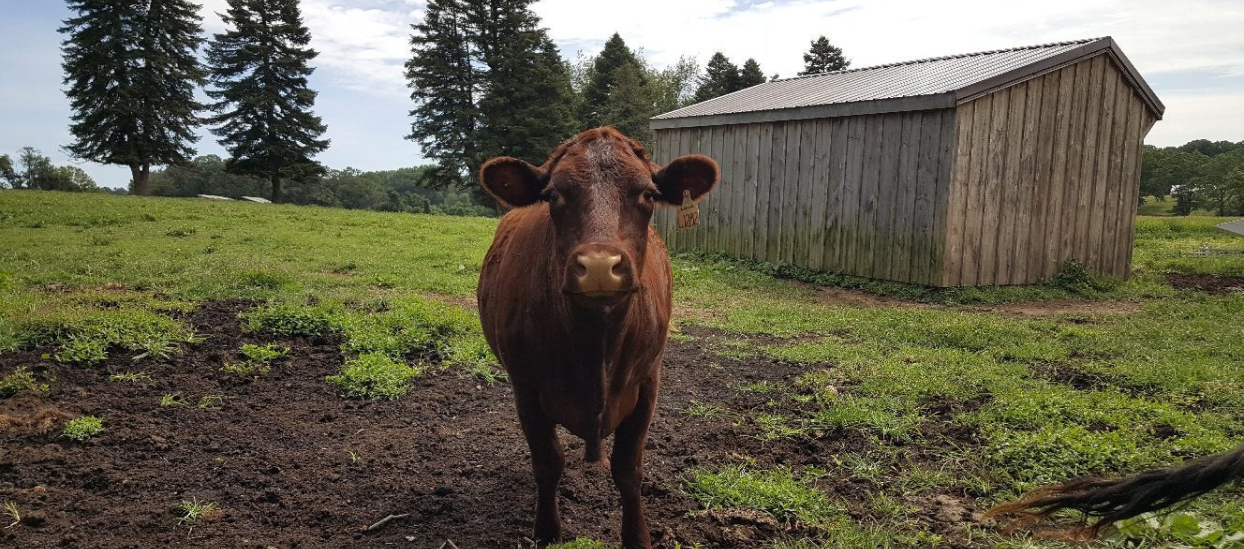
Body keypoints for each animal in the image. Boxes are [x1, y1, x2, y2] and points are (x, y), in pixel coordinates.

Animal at [476, 127, 718, 548]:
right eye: (553, 194)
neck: (595, 345)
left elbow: (629, 469)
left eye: (648, 194)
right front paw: (547, 532)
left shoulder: (648, 381)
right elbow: (547, 463)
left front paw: (638, 536)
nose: (601, 266)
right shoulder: (525, 387)